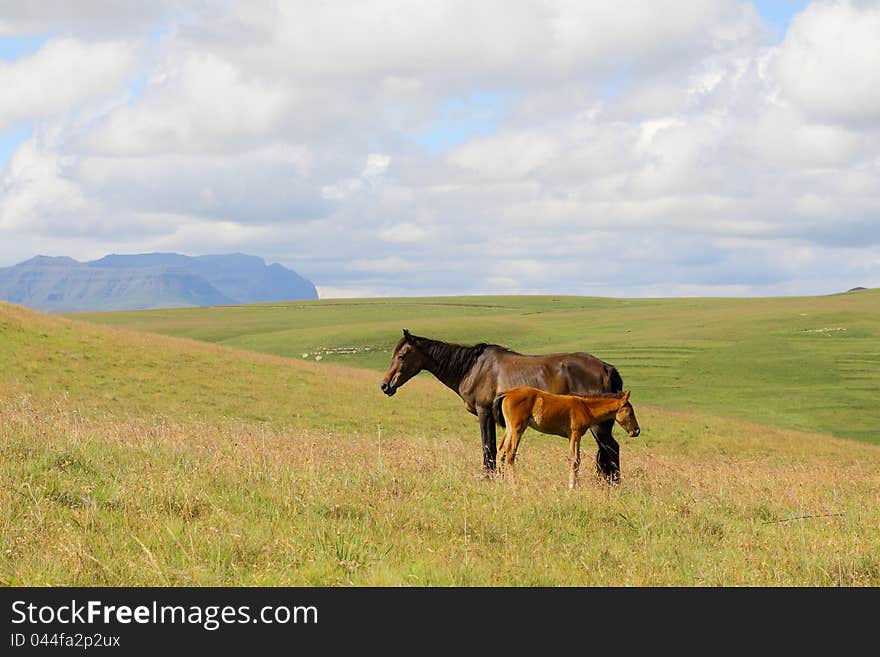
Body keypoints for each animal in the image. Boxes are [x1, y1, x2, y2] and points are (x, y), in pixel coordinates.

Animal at [378, 330, 624, 480]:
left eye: (402, 355)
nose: (385, 385)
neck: (472, 367)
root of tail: (605, 367)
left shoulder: (484, 413)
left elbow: (488, 448)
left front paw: (488, 478)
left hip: (598, 427)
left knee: (611, 449)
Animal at [496, 386, 640, 490]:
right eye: (630, 412)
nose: (636, 431)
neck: (585, 407)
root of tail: (508, 393)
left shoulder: (575, 436)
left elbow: (577, 460)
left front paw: (575, 485)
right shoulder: (574, 434)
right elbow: (574, 459)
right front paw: (572, 487)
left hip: (509, 428)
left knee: (501, 450)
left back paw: (499, 481)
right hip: (517, 429)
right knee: (510, 453)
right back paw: (513, 485)